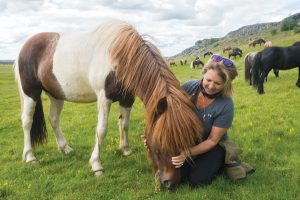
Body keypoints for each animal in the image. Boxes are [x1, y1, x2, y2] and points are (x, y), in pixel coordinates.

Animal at [15, 19, 204, 188]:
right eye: (161, 141)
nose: (169, 182)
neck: (119, 58)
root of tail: (24, 47)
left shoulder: (127, 99)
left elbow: (125, 124)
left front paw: (125, 149)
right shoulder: (104, 98)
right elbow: (102, 130)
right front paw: (96, 165)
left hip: (56, 94)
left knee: (54, 119)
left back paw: (66, 149)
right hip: (30, 93)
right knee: (27, 122)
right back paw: (30, 157)